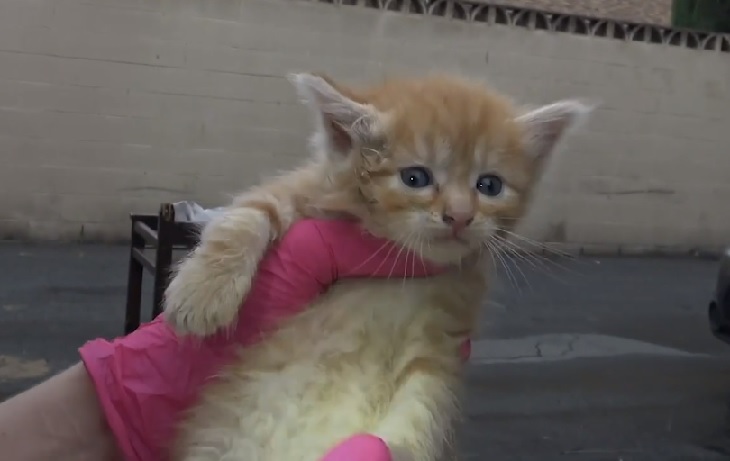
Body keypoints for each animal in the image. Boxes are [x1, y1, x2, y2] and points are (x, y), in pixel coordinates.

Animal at [166, 73, 592, 458]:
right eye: (415, 178)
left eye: (489, 186)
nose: (459, 216)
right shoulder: (301, 191)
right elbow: (248, 215)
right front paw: (200, 294)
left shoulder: (438, 340)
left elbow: (423, 408)